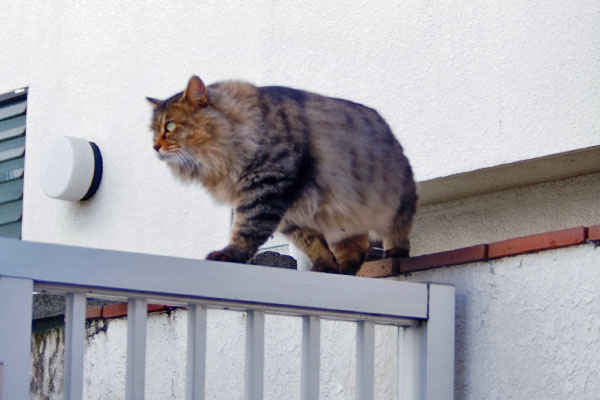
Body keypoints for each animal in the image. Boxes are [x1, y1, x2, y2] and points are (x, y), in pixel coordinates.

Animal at [148, 76, 414, 276]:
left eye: (170, 127)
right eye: (153, 131)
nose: (155, 147)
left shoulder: (266, 186)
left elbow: (247, 228)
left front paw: (230, 253)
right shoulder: (290, 214)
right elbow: (312, 242)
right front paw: (325, 266)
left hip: (393, 197)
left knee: (398, 226)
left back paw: (395, 252)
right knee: (355, 244)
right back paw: (345, 267)